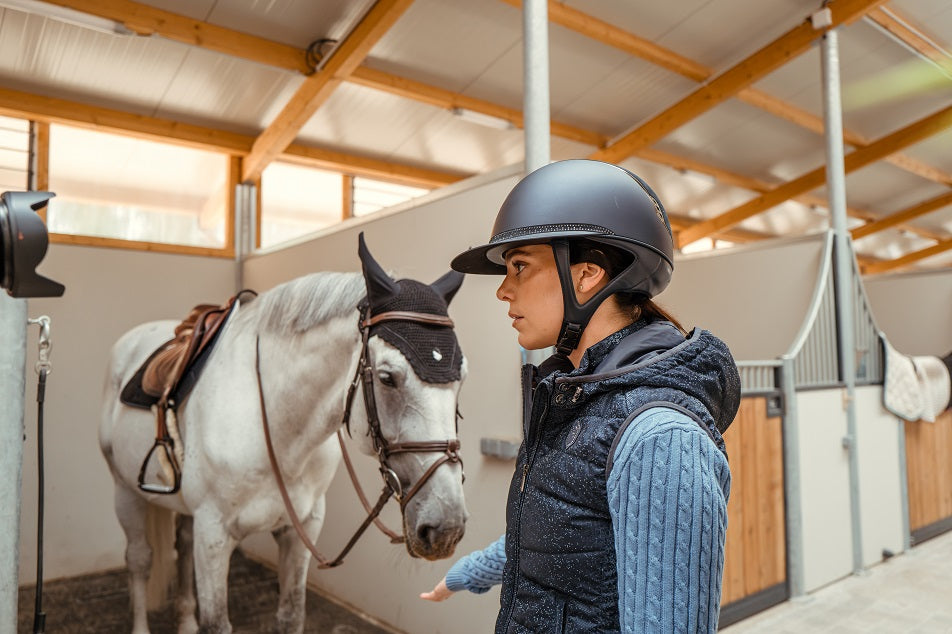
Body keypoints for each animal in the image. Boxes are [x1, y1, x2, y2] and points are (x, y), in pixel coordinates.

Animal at [98, 235, 468, 634]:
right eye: (387, 377)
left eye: (461, 378)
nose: (446, 526)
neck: (278, 429)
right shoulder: (213, 535)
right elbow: (216, 622)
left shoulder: (300, 530)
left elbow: (291, 615)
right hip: (125, 490)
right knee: (139, 560)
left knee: (179, 549)